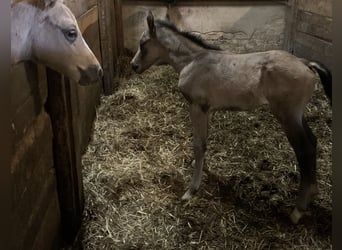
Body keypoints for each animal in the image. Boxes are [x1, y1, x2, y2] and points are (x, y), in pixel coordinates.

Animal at [130, 10, 332, 224]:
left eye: (143, 43)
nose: (133, 65)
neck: (193, 61)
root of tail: (305, 62)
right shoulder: (206, 109)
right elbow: (204, 141)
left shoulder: (196, 107)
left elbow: (198, 145)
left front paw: (191, 190)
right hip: (297, 114)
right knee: (313, 141)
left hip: (287, 115)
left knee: (304, 149)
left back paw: (298, 209)